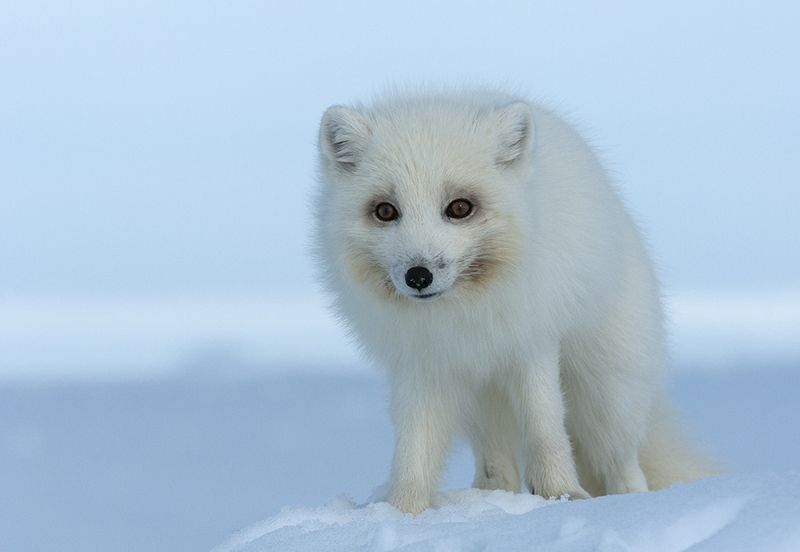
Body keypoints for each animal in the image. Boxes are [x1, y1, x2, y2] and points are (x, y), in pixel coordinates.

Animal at [313, 89, 717, 514]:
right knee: (498, 469)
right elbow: (414, 447)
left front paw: (562, 494)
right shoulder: (423, 364)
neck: (465, 315)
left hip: (609, 392)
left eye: (459, 207)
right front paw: (402, 510)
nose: (418, 276)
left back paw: (629, 503)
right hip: (482, 406)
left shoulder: (533, 343)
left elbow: (545, 427)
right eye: (385, 211)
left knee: (622, 461)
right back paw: (489, 499)